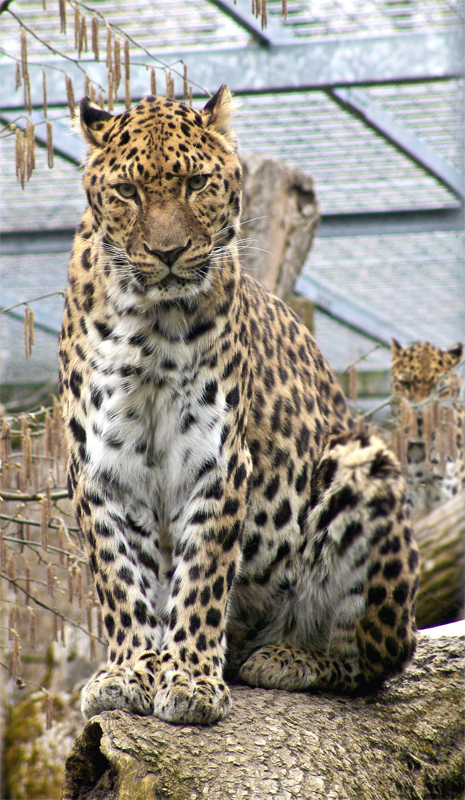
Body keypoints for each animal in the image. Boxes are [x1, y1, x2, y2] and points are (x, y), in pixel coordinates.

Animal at [59, 86, 418, 724]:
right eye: (127, 192)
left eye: (196, 183)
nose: (168, 252)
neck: (152, 324)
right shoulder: (99, 469)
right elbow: (120, 579)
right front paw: (130, 669)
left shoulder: (219, 460)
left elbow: (202, 576)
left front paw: (191, 679)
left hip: (362, 460)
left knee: (375, 658)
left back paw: (290, 656)